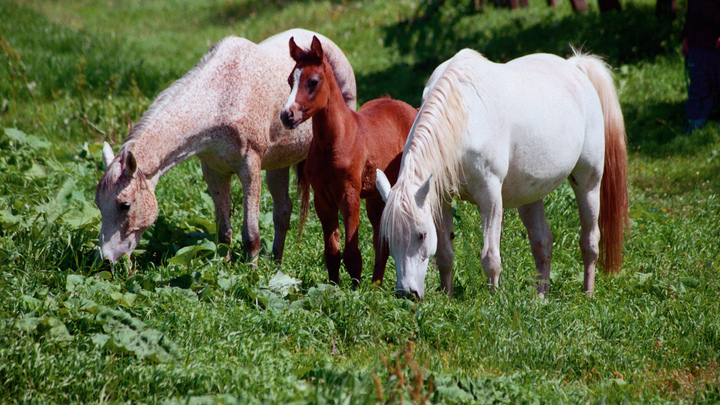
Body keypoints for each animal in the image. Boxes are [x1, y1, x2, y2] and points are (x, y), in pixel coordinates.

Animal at [94, 28, 356, 262]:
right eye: (98, 203)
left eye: (125, 205)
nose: (105, 260)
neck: (223, 97)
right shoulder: (215, 172)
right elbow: (224, 232)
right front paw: (225, 266)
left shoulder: (250, 168)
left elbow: (251, 236)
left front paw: (251, 273)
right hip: (278, 163)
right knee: (283, 211)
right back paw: (277, 263)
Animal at [280, 37, 420, 284]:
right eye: (290, 80)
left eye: (313, 81)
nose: (287, 115)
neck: (334, 142)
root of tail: (409, 107)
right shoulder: (322, 198)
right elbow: (332, 251)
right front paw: (333, 287)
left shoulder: (349, 195)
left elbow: (352, 253)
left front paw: (355, 290)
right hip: (376, 196)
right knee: (381, 240)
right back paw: (375, 285)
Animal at [376, 48, 632, 300]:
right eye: (388, 237)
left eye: (420, 235)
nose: (406, 294)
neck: (465, 115)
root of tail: (576, 67)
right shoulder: (441, 199)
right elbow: (445, 255)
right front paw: (448, 299)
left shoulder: (490, 198)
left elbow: (490, 257)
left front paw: (494, 300)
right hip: (531, 195)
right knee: (542, 242)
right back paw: (541, 298)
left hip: (588, 182)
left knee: (589, 241)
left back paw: (588, 294)